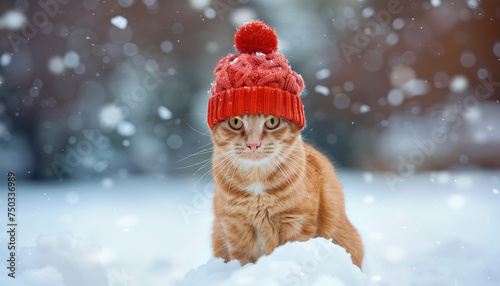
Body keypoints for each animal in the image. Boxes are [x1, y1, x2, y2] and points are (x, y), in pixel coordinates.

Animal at [211, 113, 364, 268]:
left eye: (272, 122)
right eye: (235, 122)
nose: (253, 144)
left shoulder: (297, 223)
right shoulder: (235, 228)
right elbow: (243, 262)